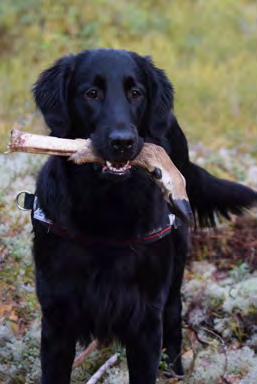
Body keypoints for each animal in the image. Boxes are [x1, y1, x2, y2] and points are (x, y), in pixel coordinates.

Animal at [32, 49, 256, 382]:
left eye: (136, 93)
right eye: (91, 93)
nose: (123, 142)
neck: (107, 210)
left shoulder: (146, 320)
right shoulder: (56, 319)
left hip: (175, 271)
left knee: (174, 317)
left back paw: (175, 372)